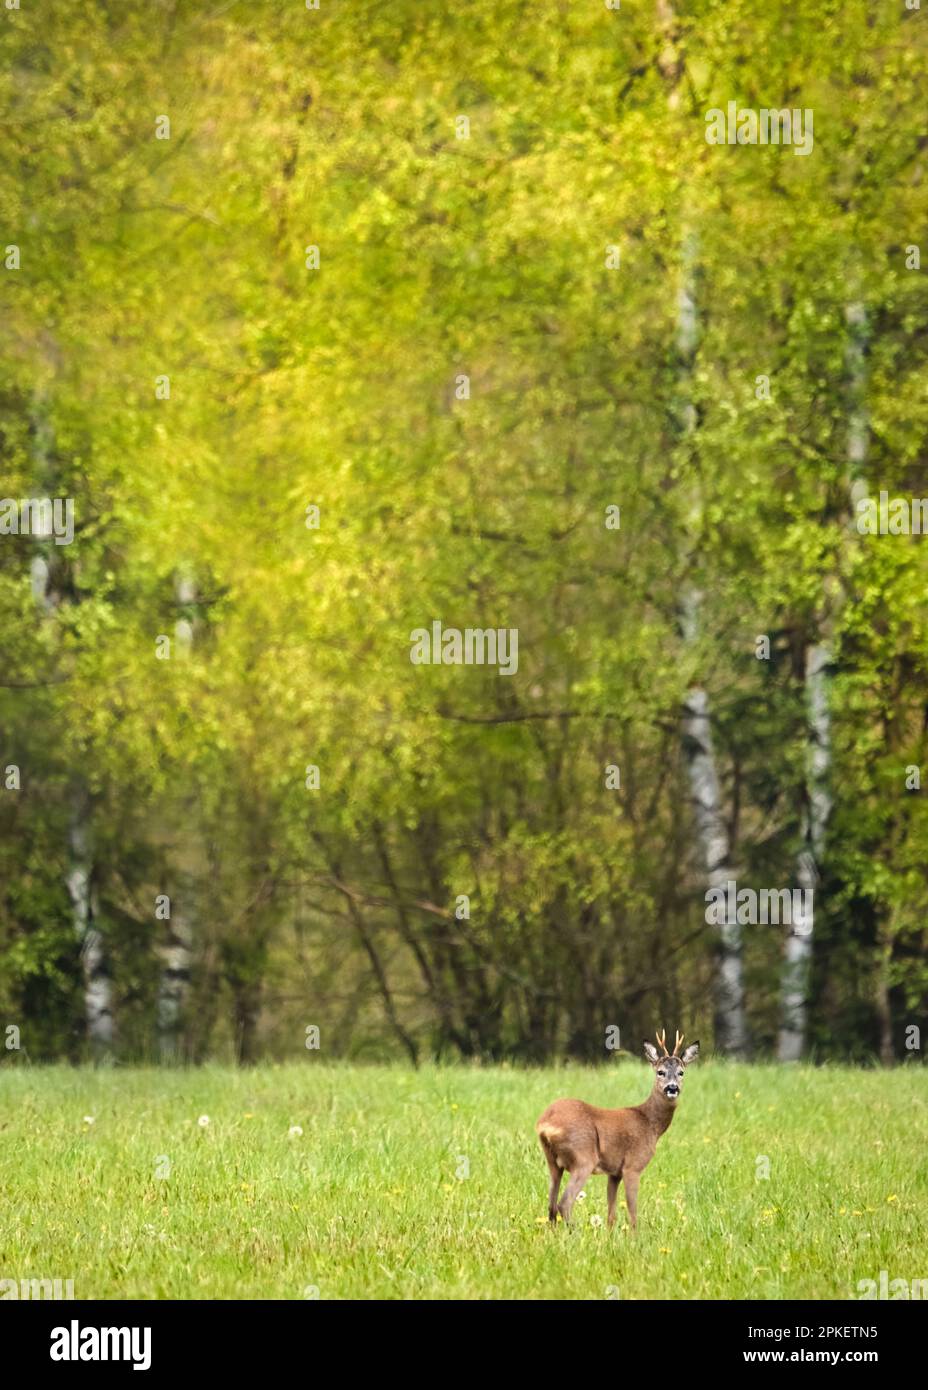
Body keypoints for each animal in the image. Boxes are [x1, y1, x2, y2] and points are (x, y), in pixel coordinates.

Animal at [536, 1029, 699, 1231]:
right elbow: (632, 1211)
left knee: (551, 1205)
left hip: (552, 1162)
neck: (649, 1123)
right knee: (564, 1203)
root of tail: (545, 1123)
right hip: (583, 1158)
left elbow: (611, 1214)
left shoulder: (614, 1172)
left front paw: (609, 1234)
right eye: (660, 1072)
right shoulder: (633, 1166)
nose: (672, 1088)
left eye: (681, 1072)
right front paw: (635, 1236)